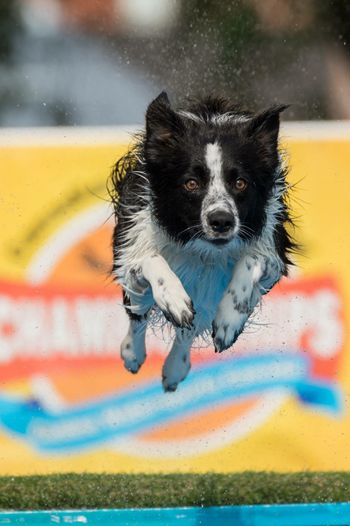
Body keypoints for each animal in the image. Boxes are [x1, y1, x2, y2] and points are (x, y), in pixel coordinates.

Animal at [109, 93, 296, 394]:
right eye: (191, 183)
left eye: (240, 182)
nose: (221, 221)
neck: (203, 249)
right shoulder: (134, 246)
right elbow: (152, 260)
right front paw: (173, 298)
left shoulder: (271, 248)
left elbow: (250, 261)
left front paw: (229, 320)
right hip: (136, 286)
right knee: (138, 317)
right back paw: (132, 354)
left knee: (188, 329)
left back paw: (175, 368)